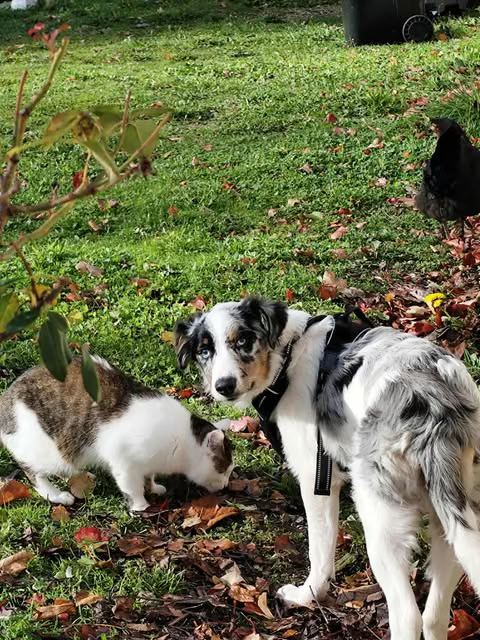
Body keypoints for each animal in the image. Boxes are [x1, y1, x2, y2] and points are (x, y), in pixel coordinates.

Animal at [0, 356, 234, 511]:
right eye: (224, 469)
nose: (225, 485)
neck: (181, 442)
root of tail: (5, 398)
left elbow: (148, 476)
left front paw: (154, 487)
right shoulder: (124, 461)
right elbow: (132, 487)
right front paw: (141, 506)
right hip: (51, 452)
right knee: (35, 473)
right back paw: (57, 495)